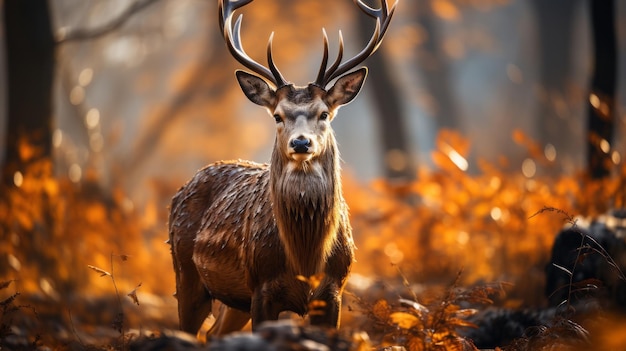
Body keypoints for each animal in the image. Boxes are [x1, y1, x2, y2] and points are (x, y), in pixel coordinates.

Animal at [167, 0, 394, 338]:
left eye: (324, 113)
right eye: (277, 115)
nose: (301, 142)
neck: (305, 260)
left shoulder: (335, 290)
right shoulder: (262, 286)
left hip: (234, 299)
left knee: (214, 333)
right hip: (185, 272)